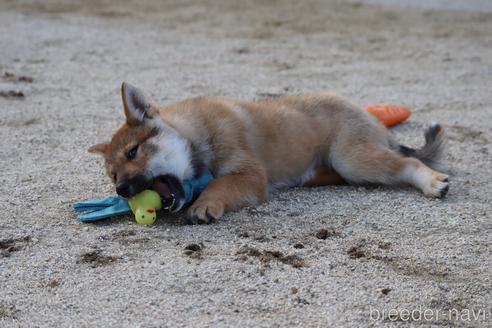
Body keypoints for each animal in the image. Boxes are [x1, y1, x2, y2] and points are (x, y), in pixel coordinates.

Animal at [89, 83, 450, 224]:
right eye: (113, 174)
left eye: (133, 152)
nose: (122, 190)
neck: (197, 132)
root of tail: (368, 115)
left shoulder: (250, 174)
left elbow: (218, 184)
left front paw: (206, 203)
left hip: (354, 159)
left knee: (408, 161)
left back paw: (432, 182)